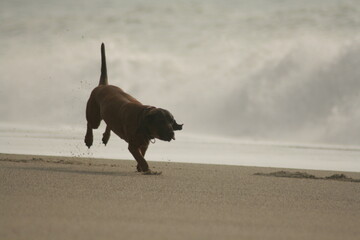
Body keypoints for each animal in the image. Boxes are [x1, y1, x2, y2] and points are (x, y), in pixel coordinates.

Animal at [84, 43, 183, 173]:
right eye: (161, 122)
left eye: (171, 121)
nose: (172, 133)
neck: (143, 119)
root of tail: (102, 86)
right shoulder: (133, 146)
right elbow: (141, 158)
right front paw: (147, 170)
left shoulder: (144, 144)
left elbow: (142, 155)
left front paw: (140, 167)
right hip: (94, 115)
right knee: (90, 123)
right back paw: (89, 139)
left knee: (108, 122)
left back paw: (106, 136)